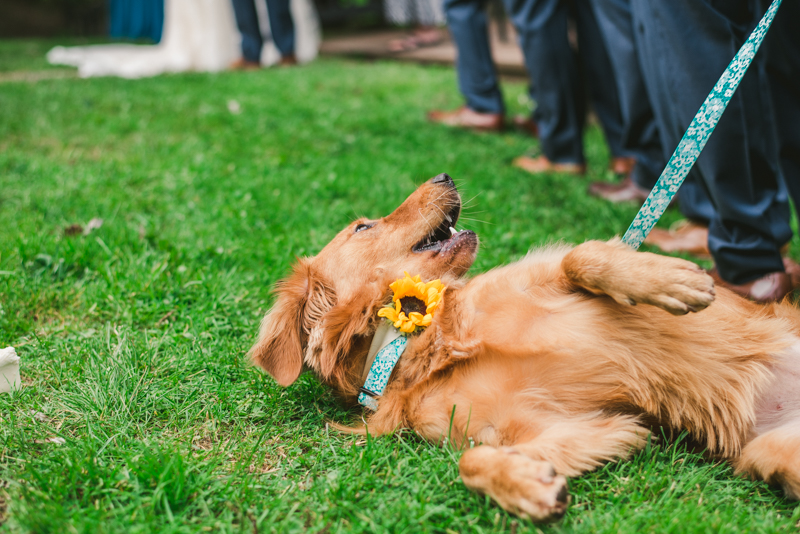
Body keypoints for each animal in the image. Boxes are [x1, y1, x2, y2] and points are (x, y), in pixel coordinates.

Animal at [250, 176, 800, 524]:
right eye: (363, 227)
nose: (444, 174)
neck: (421, 340)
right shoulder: (573, 426)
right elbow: (470, 463)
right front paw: (529, 487)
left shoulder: (546, 272)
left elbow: (585, 255)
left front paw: (672, 281)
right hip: (770, 452)